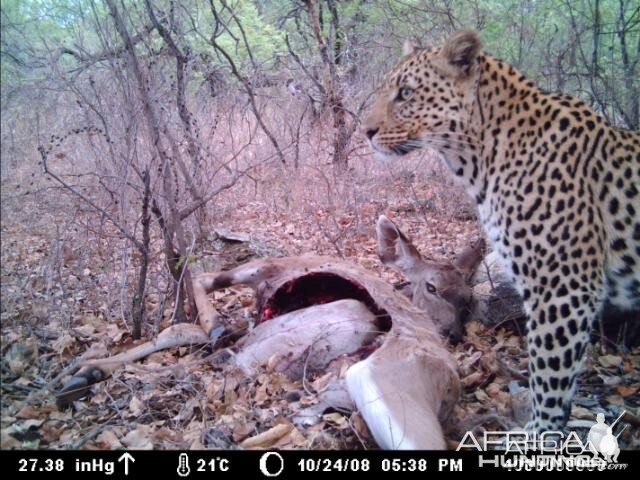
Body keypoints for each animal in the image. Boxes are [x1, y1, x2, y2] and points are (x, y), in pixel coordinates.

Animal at [362, 28, 636, 432]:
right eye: (431, 288)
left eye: (407, 92)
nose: (366, 131)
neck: (478, 161)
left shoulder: (565, 283)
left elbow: (551, 381)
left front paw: (535, 434)